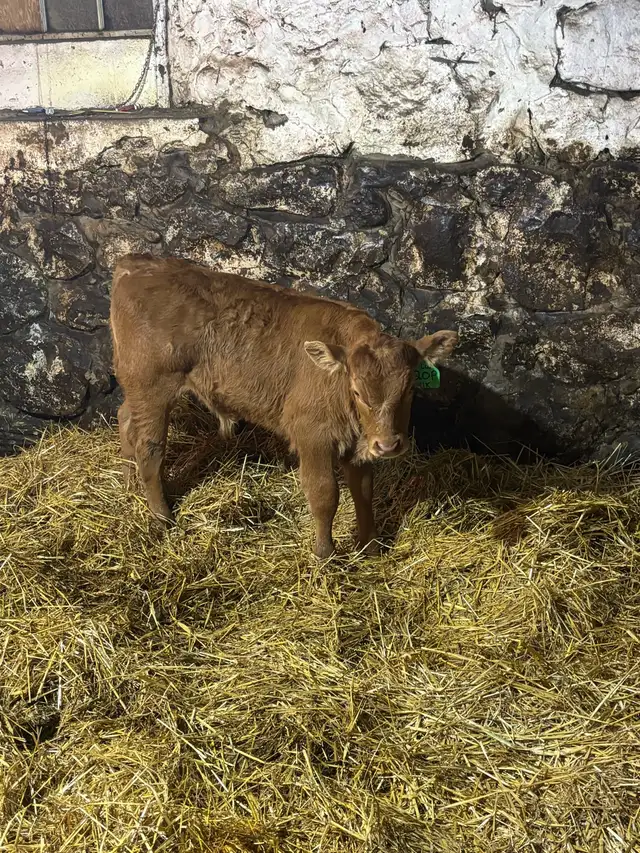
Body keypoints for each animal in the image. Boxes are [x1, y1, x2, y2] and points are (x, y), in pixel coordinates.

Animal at [110, 255, 458, 558]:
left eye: (410, 387)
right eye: (357, 391)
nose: (387, 445)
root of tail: (136, 263)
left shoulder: (357, 445)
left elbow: (364, 493)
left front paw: (370, 547)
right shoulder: (312, 436)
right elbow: (324, 494)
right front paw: (325, 554)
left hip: (137, 390)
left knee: (125, 419)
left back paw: (128, 483)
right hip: (152, 388)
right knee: (149, 449)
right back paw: (162, 516)